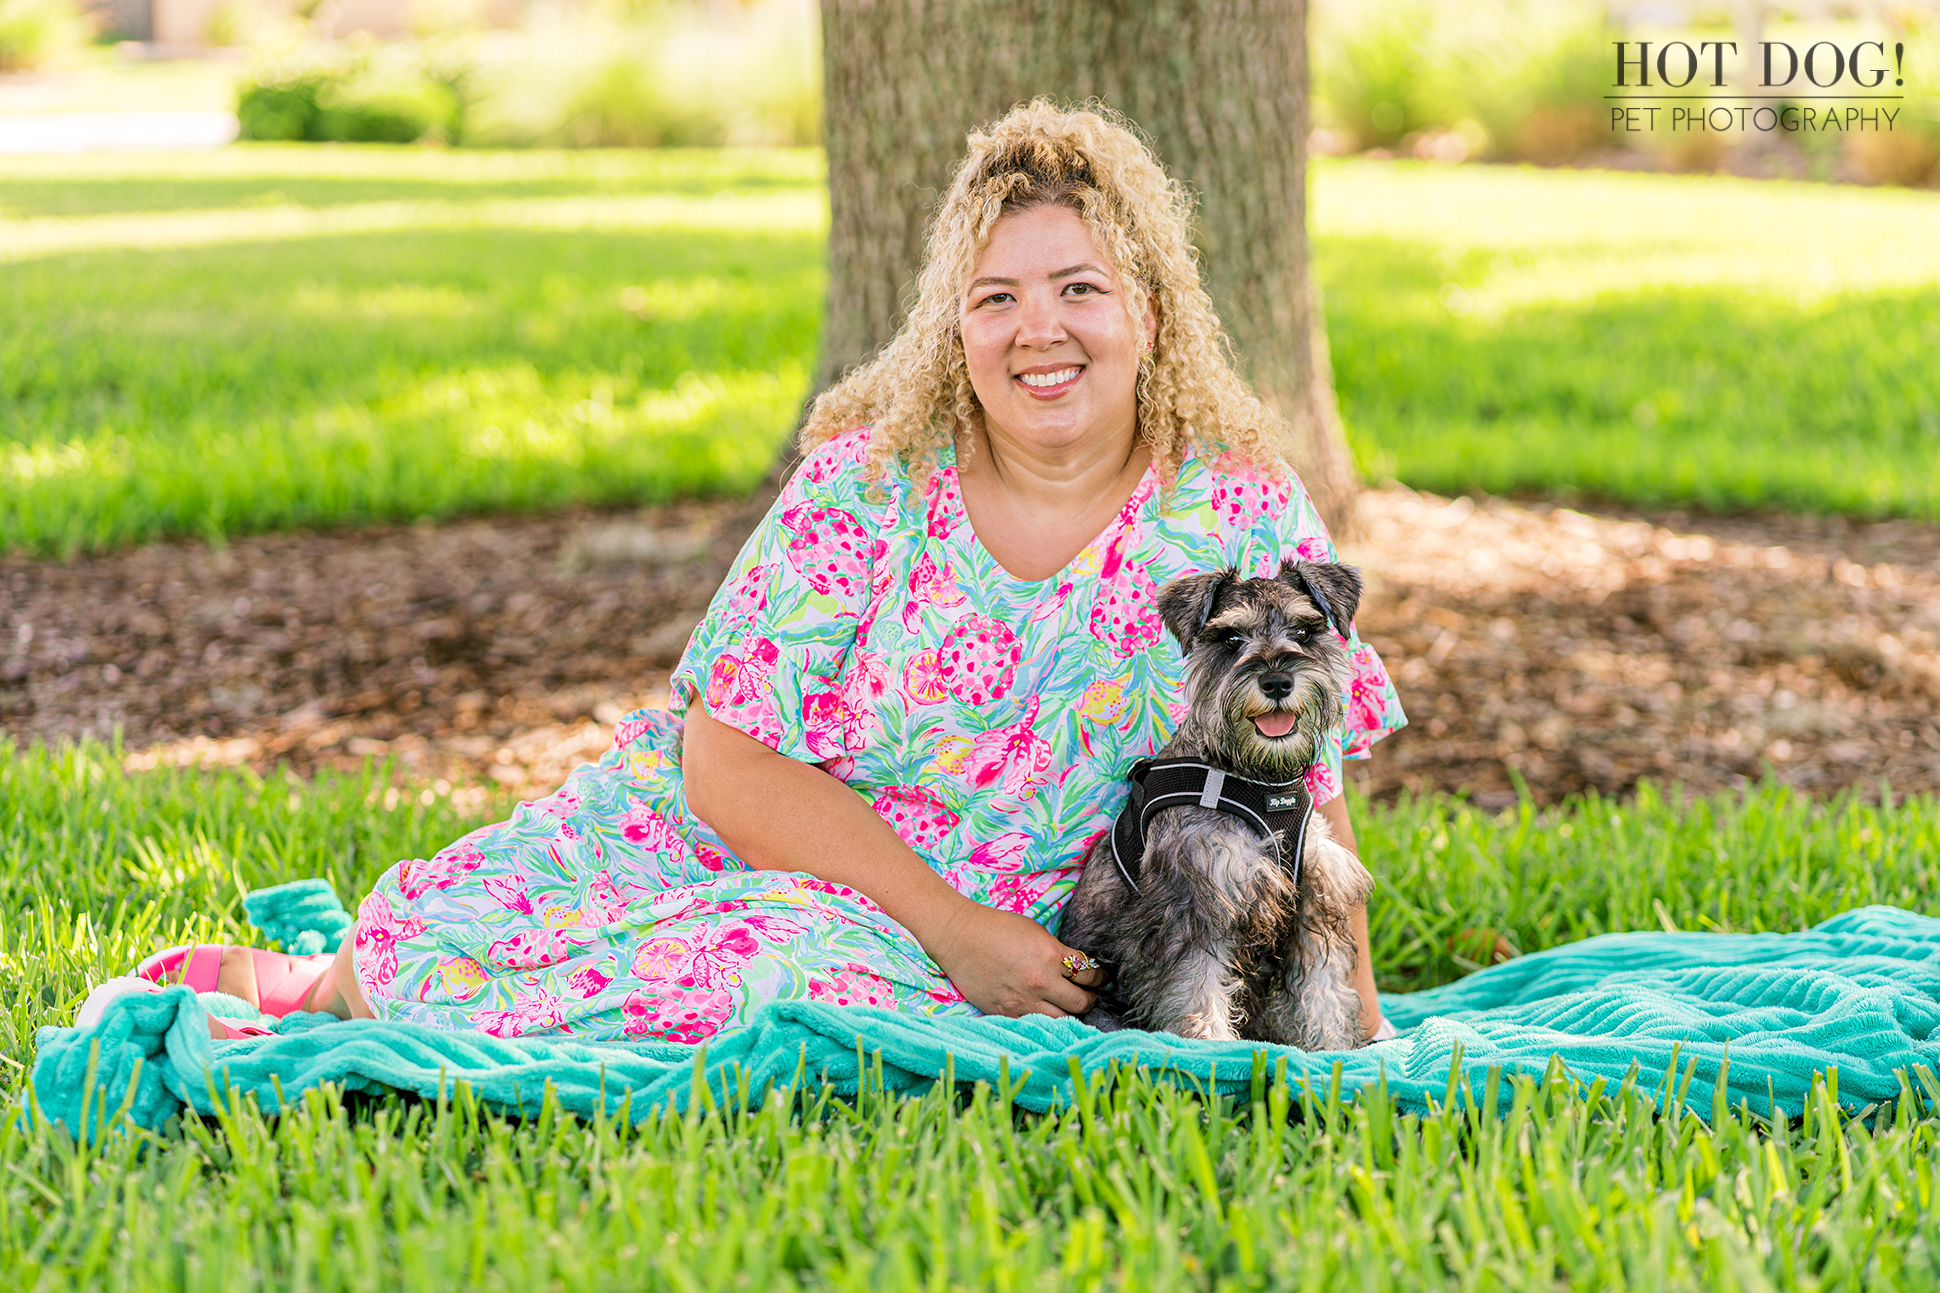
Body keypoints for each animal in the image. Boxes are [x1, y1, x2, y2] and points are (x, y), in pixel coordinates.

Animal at [1063, 555, 1381, 1048]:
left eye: (1304, 631)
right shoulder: (1195, 904)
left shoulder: (1314, 902)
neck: (1261, 783)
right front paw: (1212, 1046)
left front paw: (1333, 1047)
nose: (1276, 681)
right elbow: (1198, 990)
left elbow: (1323, 993)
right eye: (1231, 639)